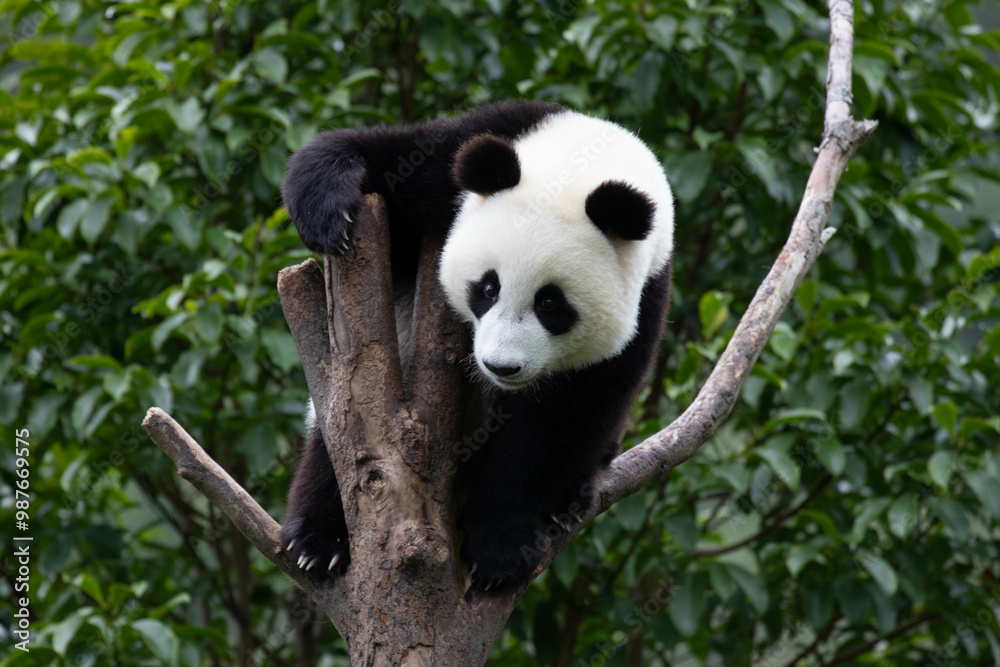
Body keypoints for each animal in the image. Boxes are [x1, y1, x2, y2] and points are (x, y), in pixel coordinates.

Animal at [279, 100, 674, 590]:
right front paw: (329, 216)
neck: (586, 159)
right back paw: (318, 541)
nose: (501, 367)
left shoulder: (646, 299)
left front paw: (499, 547)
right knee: (338, 443)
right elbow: (376, 157)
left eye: (550, 304)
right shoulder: (451, 167)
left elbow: (561, 424)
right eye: (488, 288)